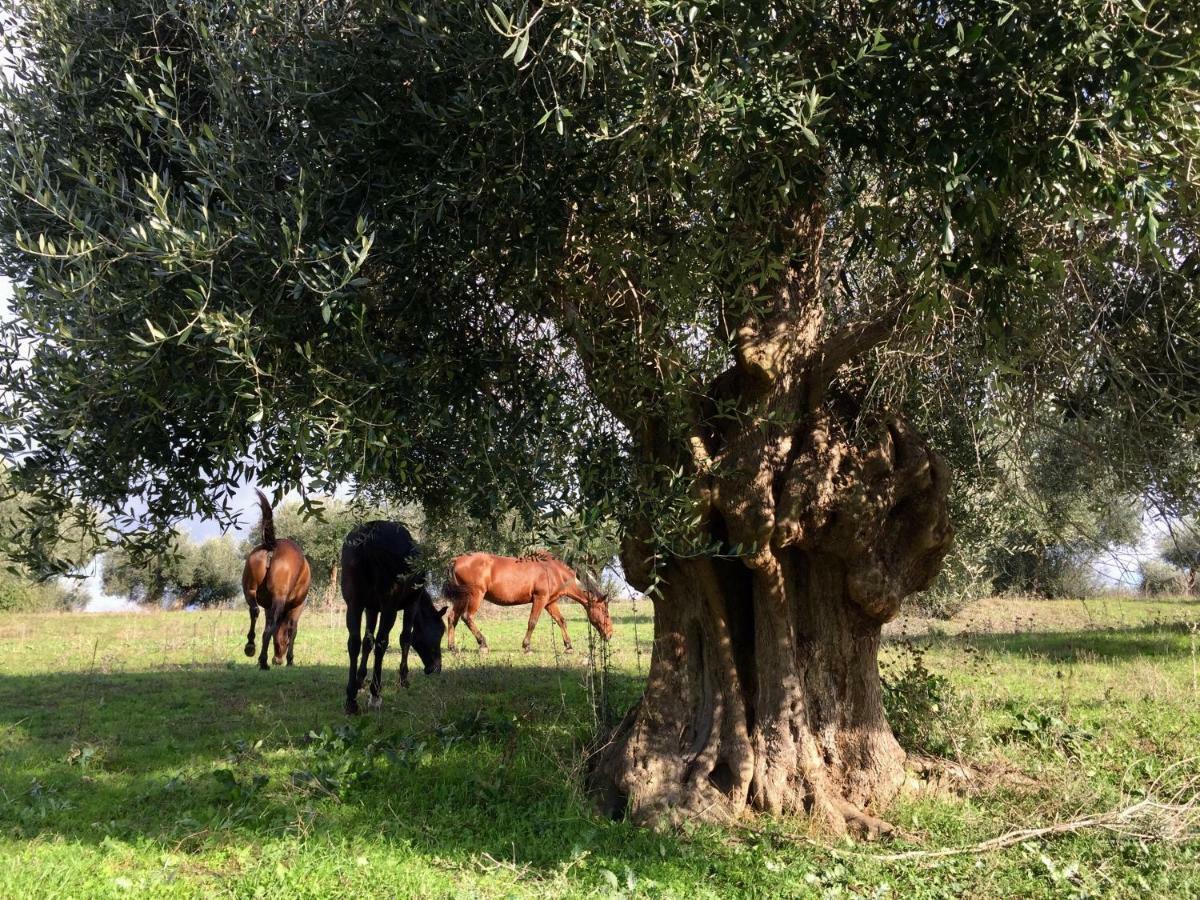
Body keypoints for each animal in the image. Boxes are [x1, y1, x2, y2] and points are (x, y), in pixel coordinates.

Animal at [240, 494, 312, 672]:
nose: (277, 660)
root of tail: (272, 545)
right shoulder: (297, 606)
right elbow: (293, 629)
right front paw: (290, 660)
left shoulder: (268, 606)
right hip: (279, 598)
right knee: (269, 628)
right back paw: (263, 662)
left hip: (249, 591)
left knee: (255, 611)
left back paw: (250, 646)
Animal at [340, 525, 448, 715]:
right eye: (440, 631)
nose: (436, 668)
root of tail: (368, 538)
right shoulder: (411, 604)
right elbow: (406, 637)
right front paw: (403, 679)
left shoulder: (371, 608)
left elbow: (367, 641)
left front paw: (360, 679)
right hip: (389, 607)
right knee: (382, 642)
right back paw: (375, 694)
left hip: (354, 604)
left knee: (354, 642)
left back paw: (351, 699)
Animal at [444, 549, 614, 657]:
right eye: (605, 612)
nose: (610, 634)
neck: (553, 571)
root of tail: (457, 560)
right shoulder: (540, 598)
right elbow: (532, 622)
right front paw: (527, 647)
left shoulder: (550, 602)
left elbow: (561, 621)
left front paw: (569, 646)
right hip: (475, 596)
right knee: (467, 617)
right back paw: (483, 644)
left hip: (461, 598)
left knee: (452, 618)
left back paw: (452, 648)